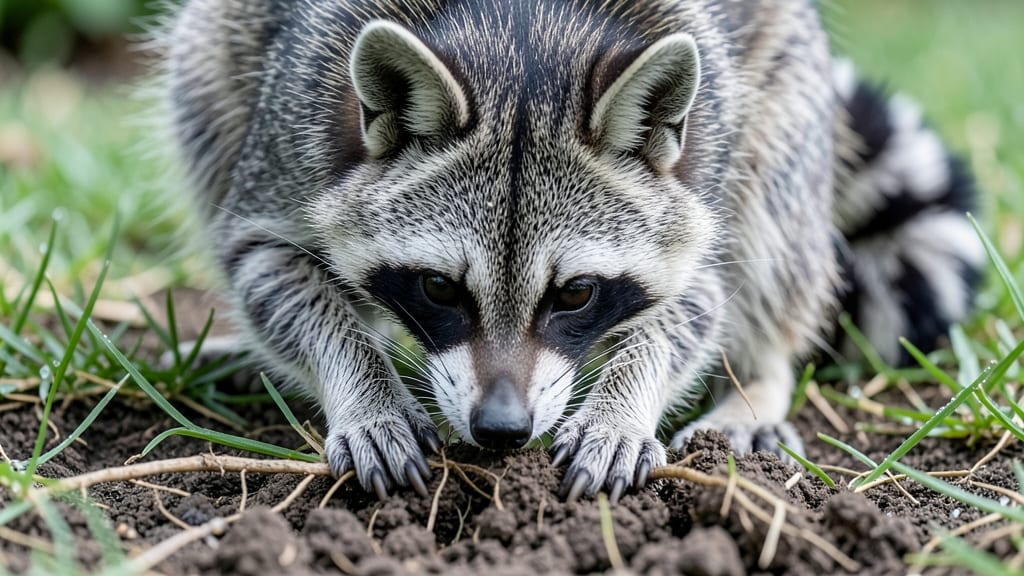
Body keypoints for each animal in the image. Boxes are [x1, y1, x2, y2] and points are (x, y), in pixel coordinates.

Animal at [163, 0, 983, 501]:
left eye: (575, 294)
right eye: (439, 289)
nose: (500, 430)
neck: (519, 42)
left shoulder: (701, 174)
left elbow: (698, 297)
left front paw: (624, 401)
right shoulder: (294, 125)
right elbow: (264, 261)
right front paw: (366, 388)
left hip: (782, 88)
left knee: (772, 227)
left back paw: (761, 374)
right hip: (219, 51)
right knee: (204, 99)